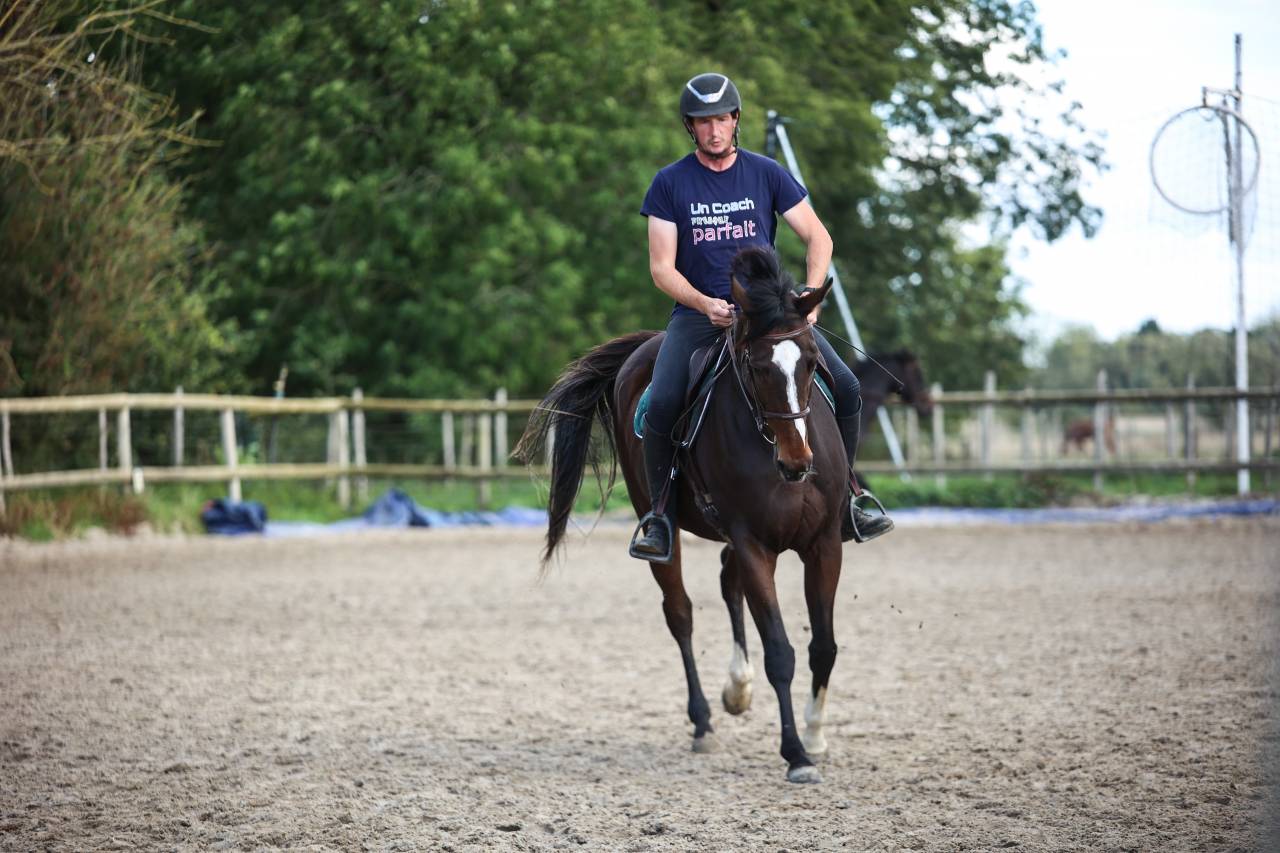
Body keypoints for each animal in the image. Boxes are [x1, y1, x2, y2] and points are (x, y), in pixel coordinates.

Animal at [516, 247, 849, 784]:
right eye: (756, 366)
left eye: (812, 362)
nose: (797, 463)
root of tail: (644, 346)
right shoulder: (754, 544)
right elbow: (780, 652)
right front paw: (796, 753)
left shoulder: (824, 545)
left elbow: (824, 645)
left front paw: (816, 736)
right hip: (663, 524)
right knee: (681, 613)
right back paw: (704, 721)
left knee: (728, 583)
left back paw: (737, 689)